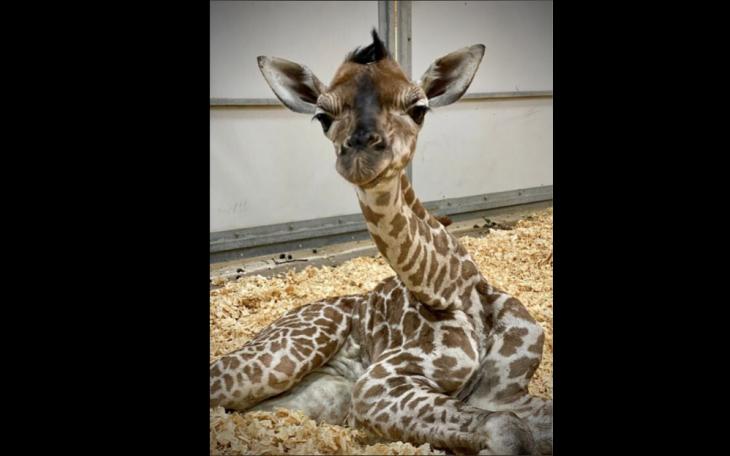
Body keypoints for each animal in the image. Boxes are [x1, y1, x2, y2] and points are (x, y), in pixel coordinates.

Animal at [210, 30, 552, 455]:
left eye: (418, 108)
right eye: (322, 116)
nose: (360, 153)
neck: (455, 290)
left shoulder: (505, 391)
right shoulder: (377, 384)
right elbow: (508, 429)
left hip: (316, 394)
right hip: (282, 358)